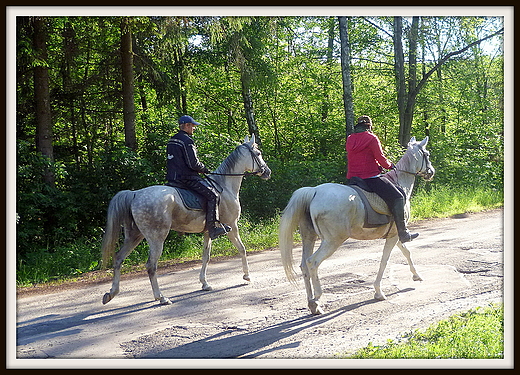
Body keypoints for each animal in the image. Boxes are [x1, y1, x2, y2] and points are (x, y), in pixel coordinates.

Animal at [101, 135, 272, 306]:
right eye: (258, 153)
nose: (267, 172)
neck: (225, 187)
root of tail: (135, 194)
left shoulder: (208, 232)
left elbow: (206, 257)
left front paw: (205, 283)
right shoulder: (232, 226)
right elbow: (242, 249)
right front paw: (247, 276)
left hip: (134, 236)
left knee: (118, 258)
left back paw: (111, 293)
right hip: (156, 238)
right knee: (151, 266)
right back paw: (161, 297)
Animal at [280, 137, 434, 314]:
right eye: (427, 154)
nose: (431, 172)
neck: (400, 182)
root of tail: (314, 192)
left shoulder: (394, 234)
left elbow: (406, 252)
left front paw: (417, 275)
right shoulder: (395, 234)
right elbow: (385, 260)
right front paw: (378, 292)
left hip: (309, 238)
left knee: (304, 265)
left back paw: (313, 305)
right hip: (332, 241)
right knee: (313, 262)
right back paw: (317, 298)